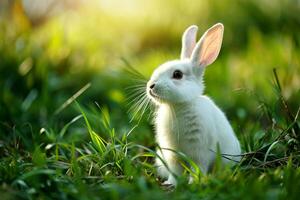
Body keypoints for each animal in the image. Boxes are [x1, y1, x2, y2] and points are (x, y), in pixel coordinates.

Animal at [146, 23, 243, 186]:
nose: (151, 86)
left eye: (177, 74)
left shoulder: (200, 151)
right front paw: (171, 183)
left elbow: (198, 168)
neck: (178, 106)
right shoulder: (172, 155)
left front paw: (194, 182)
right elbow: (175, 171)